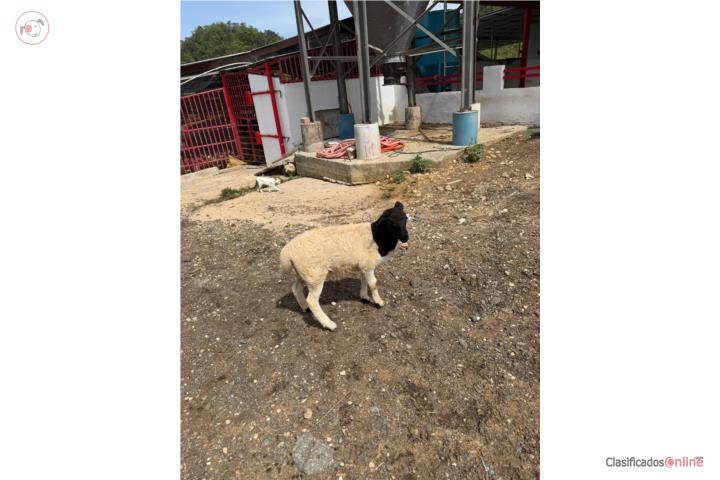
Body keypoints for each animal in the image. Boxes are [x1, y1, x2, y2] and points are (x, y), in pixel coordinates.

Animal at [279, 202, 410, 331]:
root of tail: (287, 252)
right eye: (391, 222)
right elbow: (373, 284)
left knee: (296, 288)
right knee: (312, 301)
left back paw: (305, 307)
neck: (378, 238)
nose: (405, 238)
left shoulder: (363, 265)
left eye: (405, 219)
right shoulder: (368, 265)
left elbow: (364, 280)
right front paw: (379, 302)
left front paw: (364, 297)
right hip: (315, 274)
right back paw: (329, 324)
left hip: (304, 273)